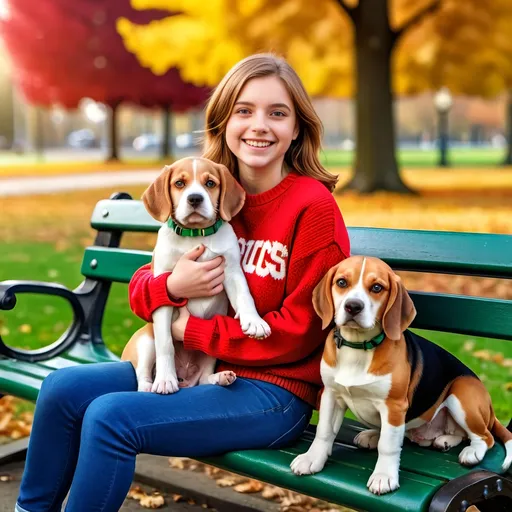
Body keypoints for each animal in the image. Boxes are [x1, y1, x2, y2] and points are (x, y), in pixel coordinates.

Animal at [122, 158, 272, 394]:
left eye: (210, 183)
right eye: (179, 183)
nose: (195, 198)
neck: (194, 235)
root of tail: (186, 379)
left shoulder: (231, 270)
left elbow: (245, 296)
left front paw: (254, 321)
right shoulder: (164, 288)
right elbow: (165, 344)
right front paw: (165, 380)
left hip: (209, 353)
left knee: (203, 379)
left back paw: (220, 377)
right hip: (145, 341)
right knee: (143, 373)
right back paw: (151, 384)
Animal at [290, 256, 510, 496]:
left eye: (377, 288)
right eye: (341, 282)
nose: (353, 306)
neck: (358, 346)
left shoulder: (394, 406)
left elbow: (388, 446)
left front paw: (384, 477)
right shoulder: (331, 395)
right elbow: (324, 431)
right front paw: (312, 459)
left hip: (461, 393)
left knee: (485, 437)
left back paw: (471, 452)